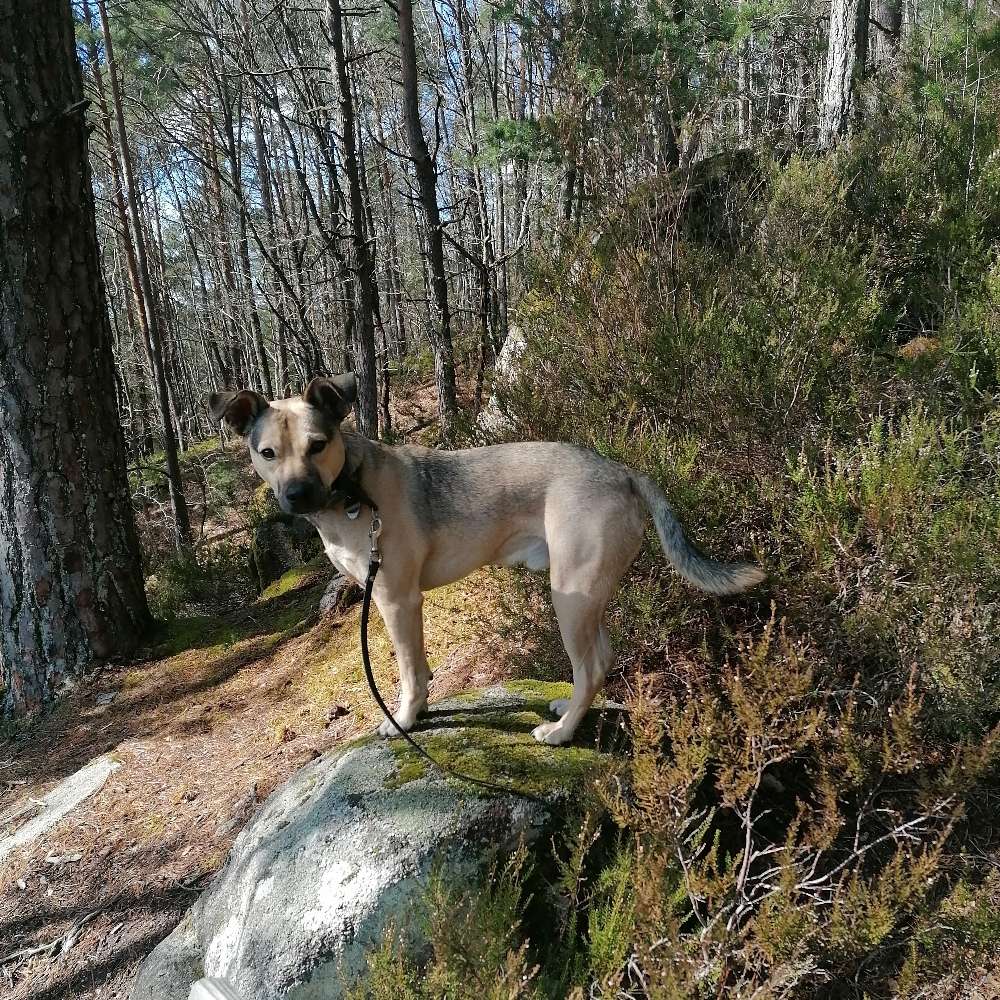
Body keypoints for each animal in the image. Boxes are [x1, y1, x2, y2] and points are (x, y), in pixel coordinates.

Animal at [207, 378, 760, 748]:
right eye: (267, 453)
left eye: (318, 445)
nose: (297, 496)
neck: (350, 487)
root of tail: (622, 471)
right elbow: (419, 669)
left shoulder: (396, 601)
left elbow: (410, 673)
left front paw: (405, 719)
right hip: (585, 596)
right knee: (599, 661)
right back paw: (569, 709)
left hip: (570, 597)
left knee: (590, 666)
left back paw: (561, 732)